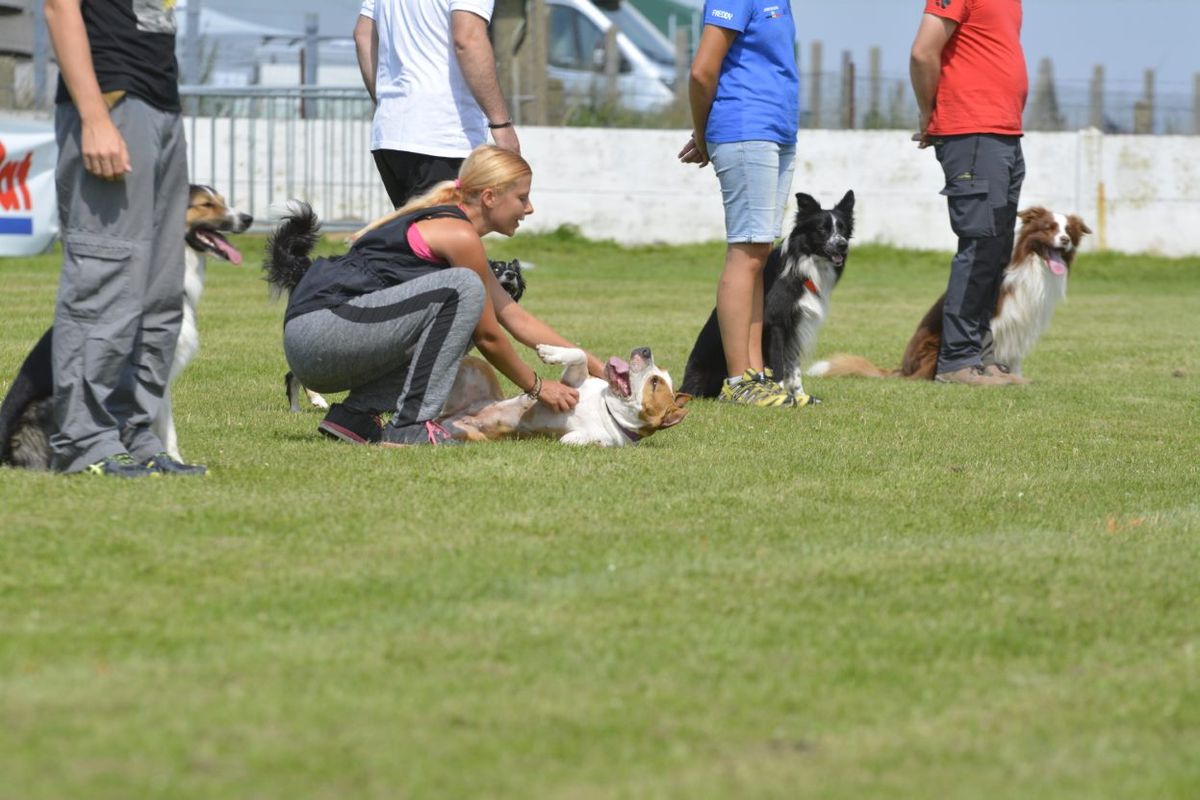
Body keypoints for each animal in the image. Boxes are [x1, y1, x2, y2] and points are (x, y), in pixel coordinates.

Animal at [441, 345, 691, 443]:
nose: (646, 350)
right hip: (476, 365)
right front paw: (550, 352)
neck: (606, 408)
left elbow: (572, 439)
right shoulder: (575, 381)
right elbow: (579, 354)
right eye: (658, 376)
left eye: (654, 382)